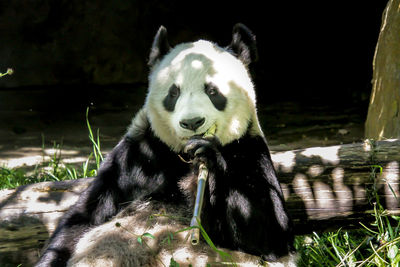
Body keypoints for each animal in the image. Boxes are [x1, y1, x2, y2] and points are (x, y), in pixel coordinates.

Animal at [35, 24, 296, 266]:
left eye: (212, 91)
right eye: (173, 93)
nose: (192, 122)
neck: (184, 156)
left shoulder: (248, 148)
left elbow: (268, 235)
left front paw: (209, 156)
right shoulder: (140, 153)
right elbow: (85, 217)